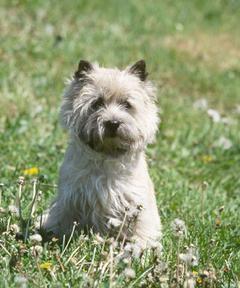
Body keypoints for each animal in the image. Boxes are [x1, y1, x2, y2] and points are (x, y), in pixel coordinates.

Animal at [41, 59, 161, 250]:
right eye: (97, 103)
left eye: (127, 104)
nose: (113, 123)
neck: (107, 155)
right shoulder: (71, 198)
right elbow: (65, 221)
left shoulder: (136, 204)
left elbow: (140, 228)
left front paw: (141, 247)